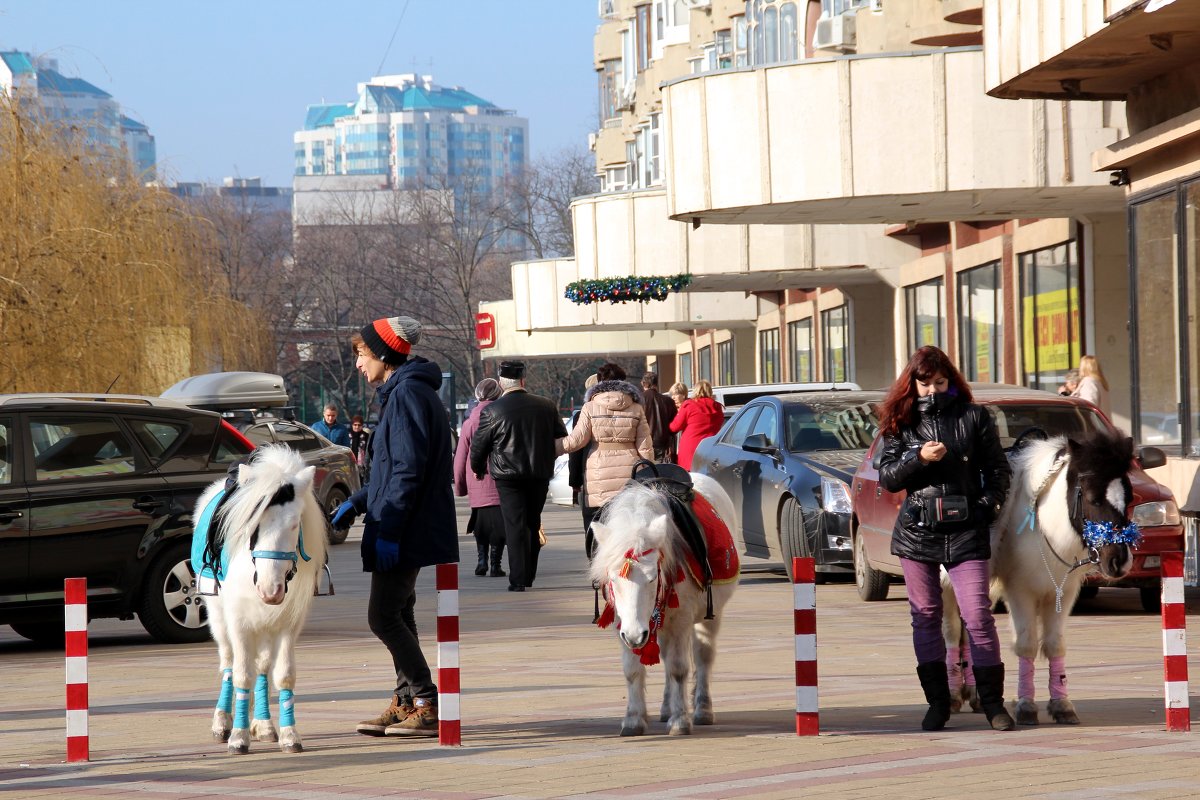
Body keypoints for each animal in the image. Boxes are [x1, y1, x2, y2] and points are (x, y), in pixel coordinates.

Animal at [194, 448, 331, 753]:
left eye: (295, 524)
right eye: (253, 523)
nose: (271, 590)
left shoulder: (289, 624)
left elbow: (283, 674)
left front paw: (289, 734)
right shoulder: (239, 622)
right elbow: (241, 673)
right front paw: (238, 737)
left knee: (263, 668)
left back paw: (264, 724)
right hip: (218, 618)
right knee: (229, 663)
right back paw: (222, 721)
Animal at [945, 431, 1132, 724]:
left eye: (1130, 498)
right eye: (1093, 499)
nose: (1119, 561)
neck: (1045, 529)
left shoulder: (1063, 593)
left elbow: (1055, 645)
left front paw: (1062, 705)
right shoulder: (1019, 592)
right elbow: (1027, 646)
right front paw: (1025, 705)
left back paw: (974, 694)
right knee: (953, 631)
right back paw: (954, 694)